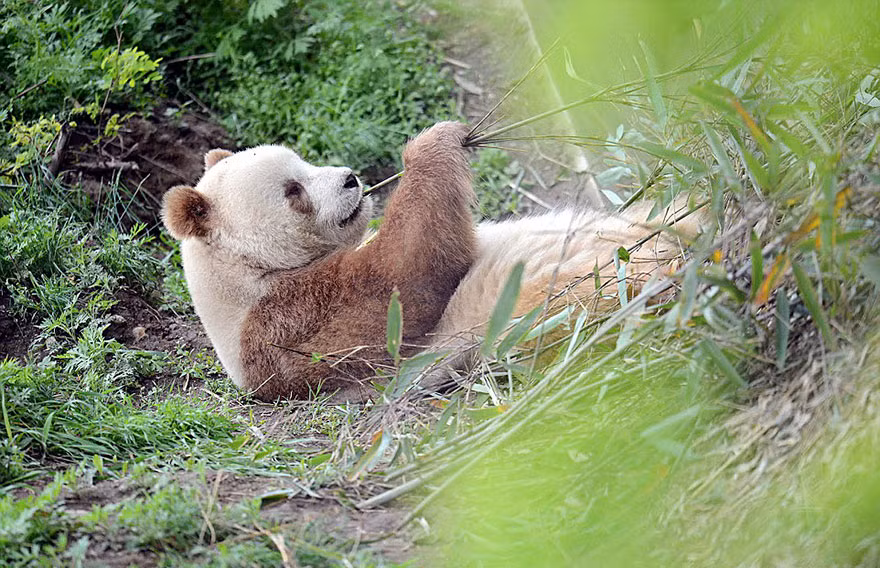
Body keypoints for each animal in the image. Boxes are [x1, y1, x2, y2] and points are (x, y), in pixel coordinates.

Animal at [162, 121, 698, 401]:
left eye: (304, 161)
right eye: (293, 190)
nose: (352, 179)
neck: (246, 275)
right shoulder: (290, 327)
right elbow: (405, 280)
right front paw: (434, 142)